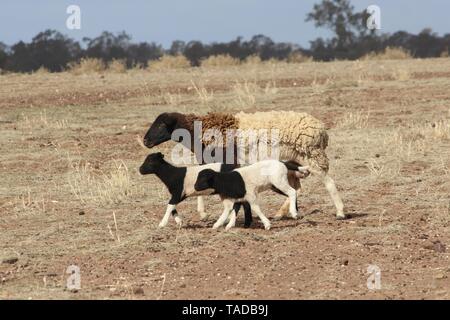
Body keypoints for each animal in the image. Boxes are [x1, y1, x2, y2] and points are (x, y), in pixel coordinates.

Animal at [142, 111, 346, 219]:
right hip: (295, 163)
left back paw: (340, 212)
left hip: (312, 156)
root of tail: (321, 130)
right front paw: (204, 213)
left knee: (328, 183)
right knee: (297, 188)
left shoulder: (223, 163)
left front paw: (204, 213)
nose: (145, 141)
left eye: (161, 125)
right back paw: (283, 212)